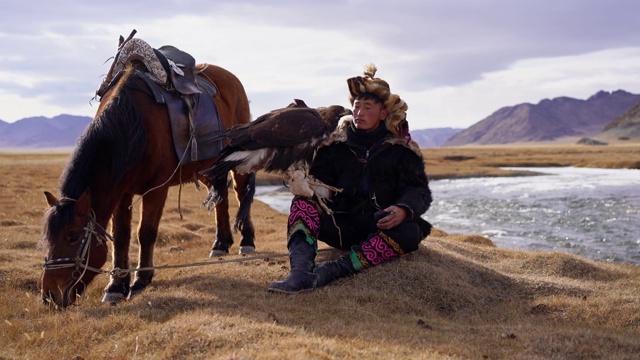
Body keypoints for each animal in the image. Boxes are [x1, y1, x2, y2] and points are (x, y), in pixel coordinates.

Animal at [38, 63, 255, 308]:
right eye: (48, 238)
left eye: (73, 236)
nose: (49, 295)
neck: (134, 124)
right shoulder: (121, 191)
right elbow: (121, 235)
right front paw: (116, 286)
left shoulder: (157, 188)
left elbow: (146, 232)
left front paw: (141, 280)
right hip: (207, 168)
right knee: (221, 197)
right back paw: (220, 243)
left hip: (239, 159)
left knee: (240, 192)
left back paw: (246, 241)